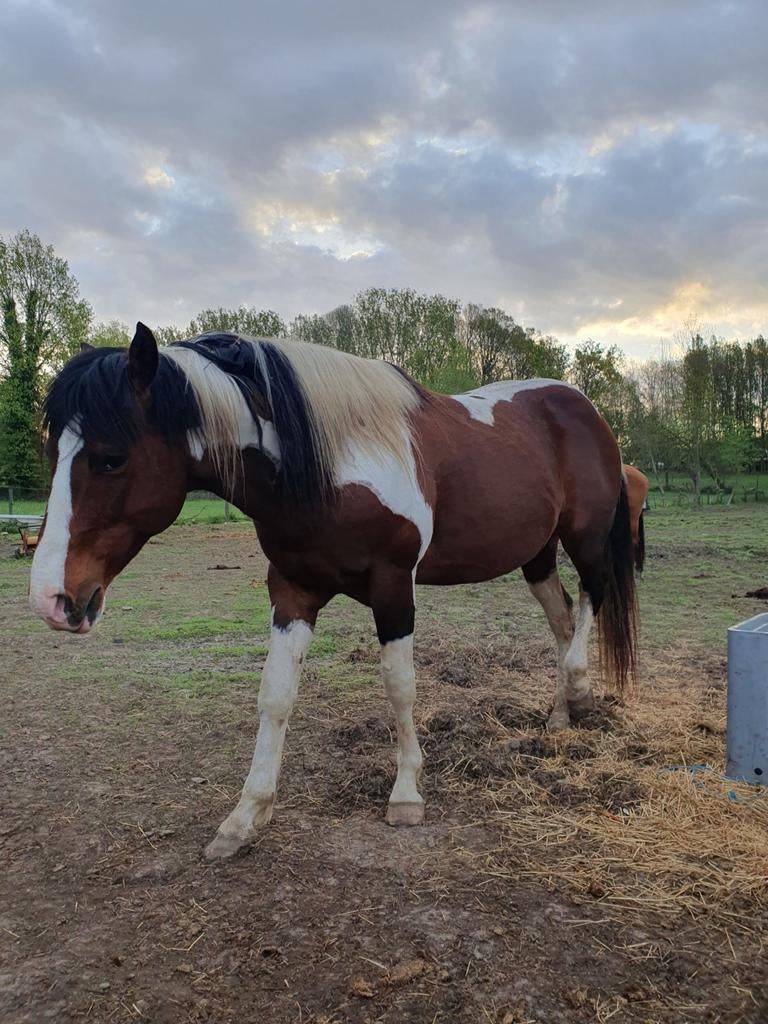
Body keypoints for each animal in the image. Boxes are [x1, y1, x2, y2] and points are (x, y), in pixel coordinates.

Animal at [30, 324, 637, 860]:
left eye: (111, 458)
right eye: (52, 454)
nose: (51, 599)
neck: (334, 464)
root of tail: (584, 407)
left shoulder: (394, 587)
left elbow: (400, 687)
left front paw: (406, 794)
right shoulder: (293, 591)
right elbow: (275, 696)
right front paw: (245, 817)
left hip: (585, 540)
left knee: (591, 602)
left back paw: (582, 691)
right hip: (535, 555)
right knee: (562, 620)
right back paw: (559, 717)